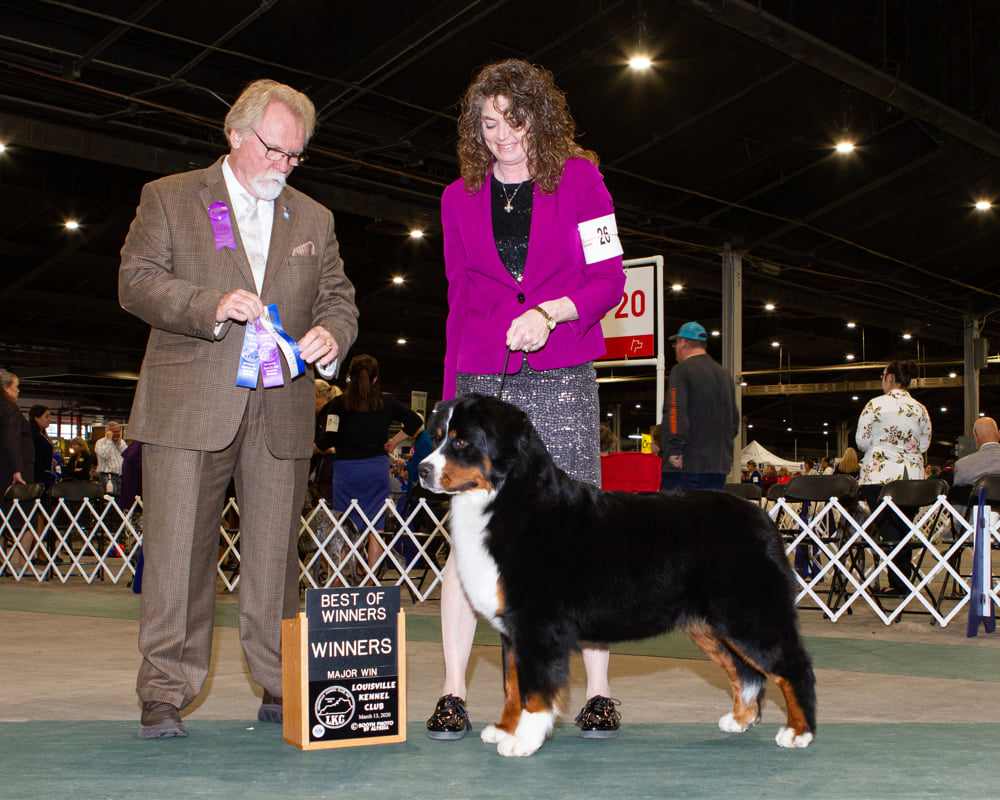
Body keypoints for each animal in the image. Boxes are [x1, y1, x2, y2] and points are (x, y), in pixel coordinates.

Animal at [418, 394, 816, 756]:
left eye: (461, 442)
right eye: (437, 437)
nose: (421, 469)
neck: (507, 500)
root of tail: (760, 515)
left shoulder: (536, 625)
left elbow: (535, 689)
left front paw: (524, 740)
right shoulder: (512, 630)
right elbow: (513, 684)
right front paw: (504, 728)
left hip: (749, 613)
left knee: (792, 666)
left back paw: (798, 732)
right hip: (711, 625)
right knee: (744, 670)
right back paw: (740, 719)